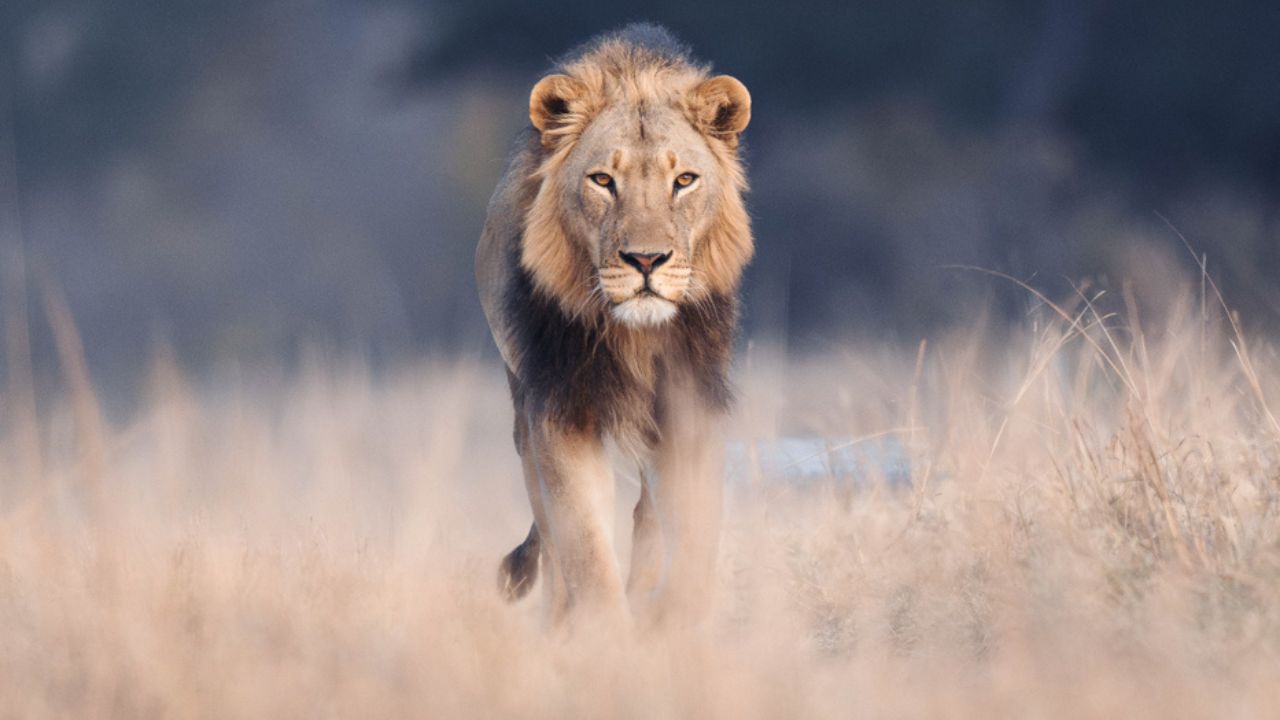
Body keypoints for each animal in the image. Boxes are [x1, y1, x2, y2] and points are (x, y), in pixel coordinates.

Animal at [475, 24, 752, 625]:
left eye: (684, 180)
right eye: (602, 179)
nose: (646, 260)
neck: (635, 336)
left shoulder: (690, 406)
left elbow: (694, 532)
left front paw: (673, 622)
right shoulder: (560, 410)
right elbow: (583, 545)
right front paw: (604, 636)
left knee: (647, 520)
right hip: (523, 414)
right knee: (553, 541)